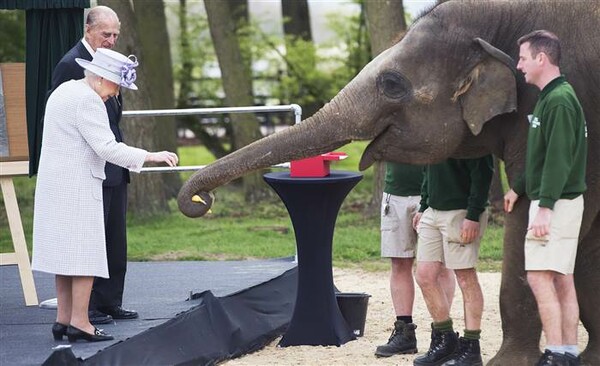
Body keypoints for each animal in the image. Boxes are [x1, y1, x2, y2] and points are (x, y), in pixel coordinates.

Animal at [178, 1, 600, 364]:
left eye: (392, 84)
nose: (201, 201)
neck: (500, 17)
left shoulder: (576, 111)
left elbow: (534, 210)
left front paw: (507, 363)